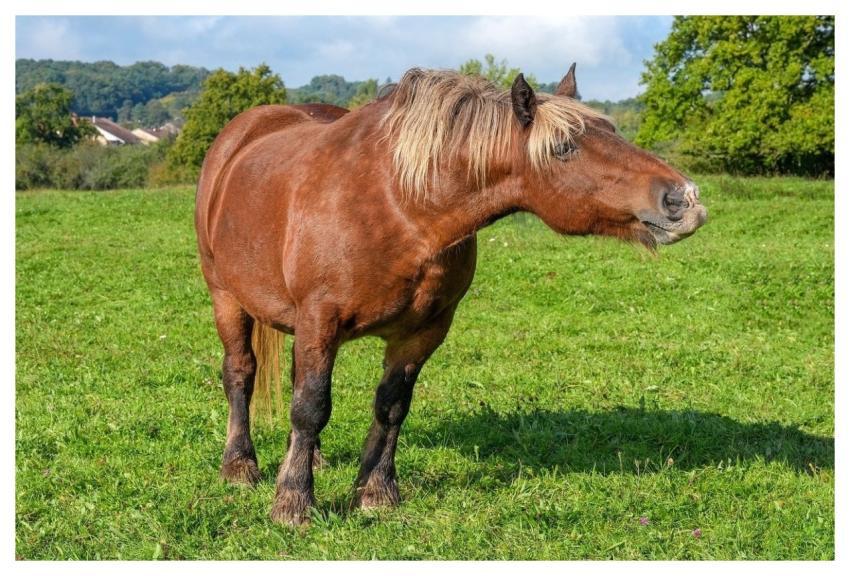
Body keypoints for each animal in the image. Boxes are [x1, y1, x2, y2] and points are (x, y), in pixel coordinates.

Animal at [194, 64, 708, 525]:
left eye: (613, 130)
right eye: (564, 147)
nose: (684, 199)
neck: (401, 205)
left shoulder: (422, 331)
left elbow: (391, 408)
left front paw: (376, 492)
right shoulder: (321, 319)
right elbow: (310, 407)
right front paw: (293, 502)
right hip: (226, 298)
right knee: (240, 373)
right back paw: (240, 465)